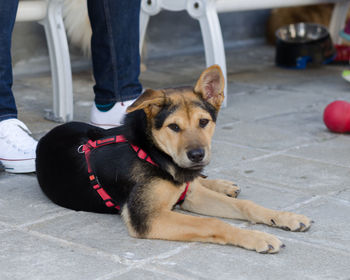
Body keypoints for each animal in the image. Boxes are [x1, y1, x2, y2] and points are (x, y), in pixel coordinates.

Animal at [35, 65, 312, 254]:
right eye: (174, 127)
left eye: (204, 122)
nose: (197, 154)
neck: (153, 154)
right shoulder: (148, 218)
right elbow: (213, 222)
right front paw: (257, 238)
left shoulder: (190, 195)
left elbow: (247, 206)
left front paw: (285, 217)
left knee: (200, 180)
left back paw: (223, 184)